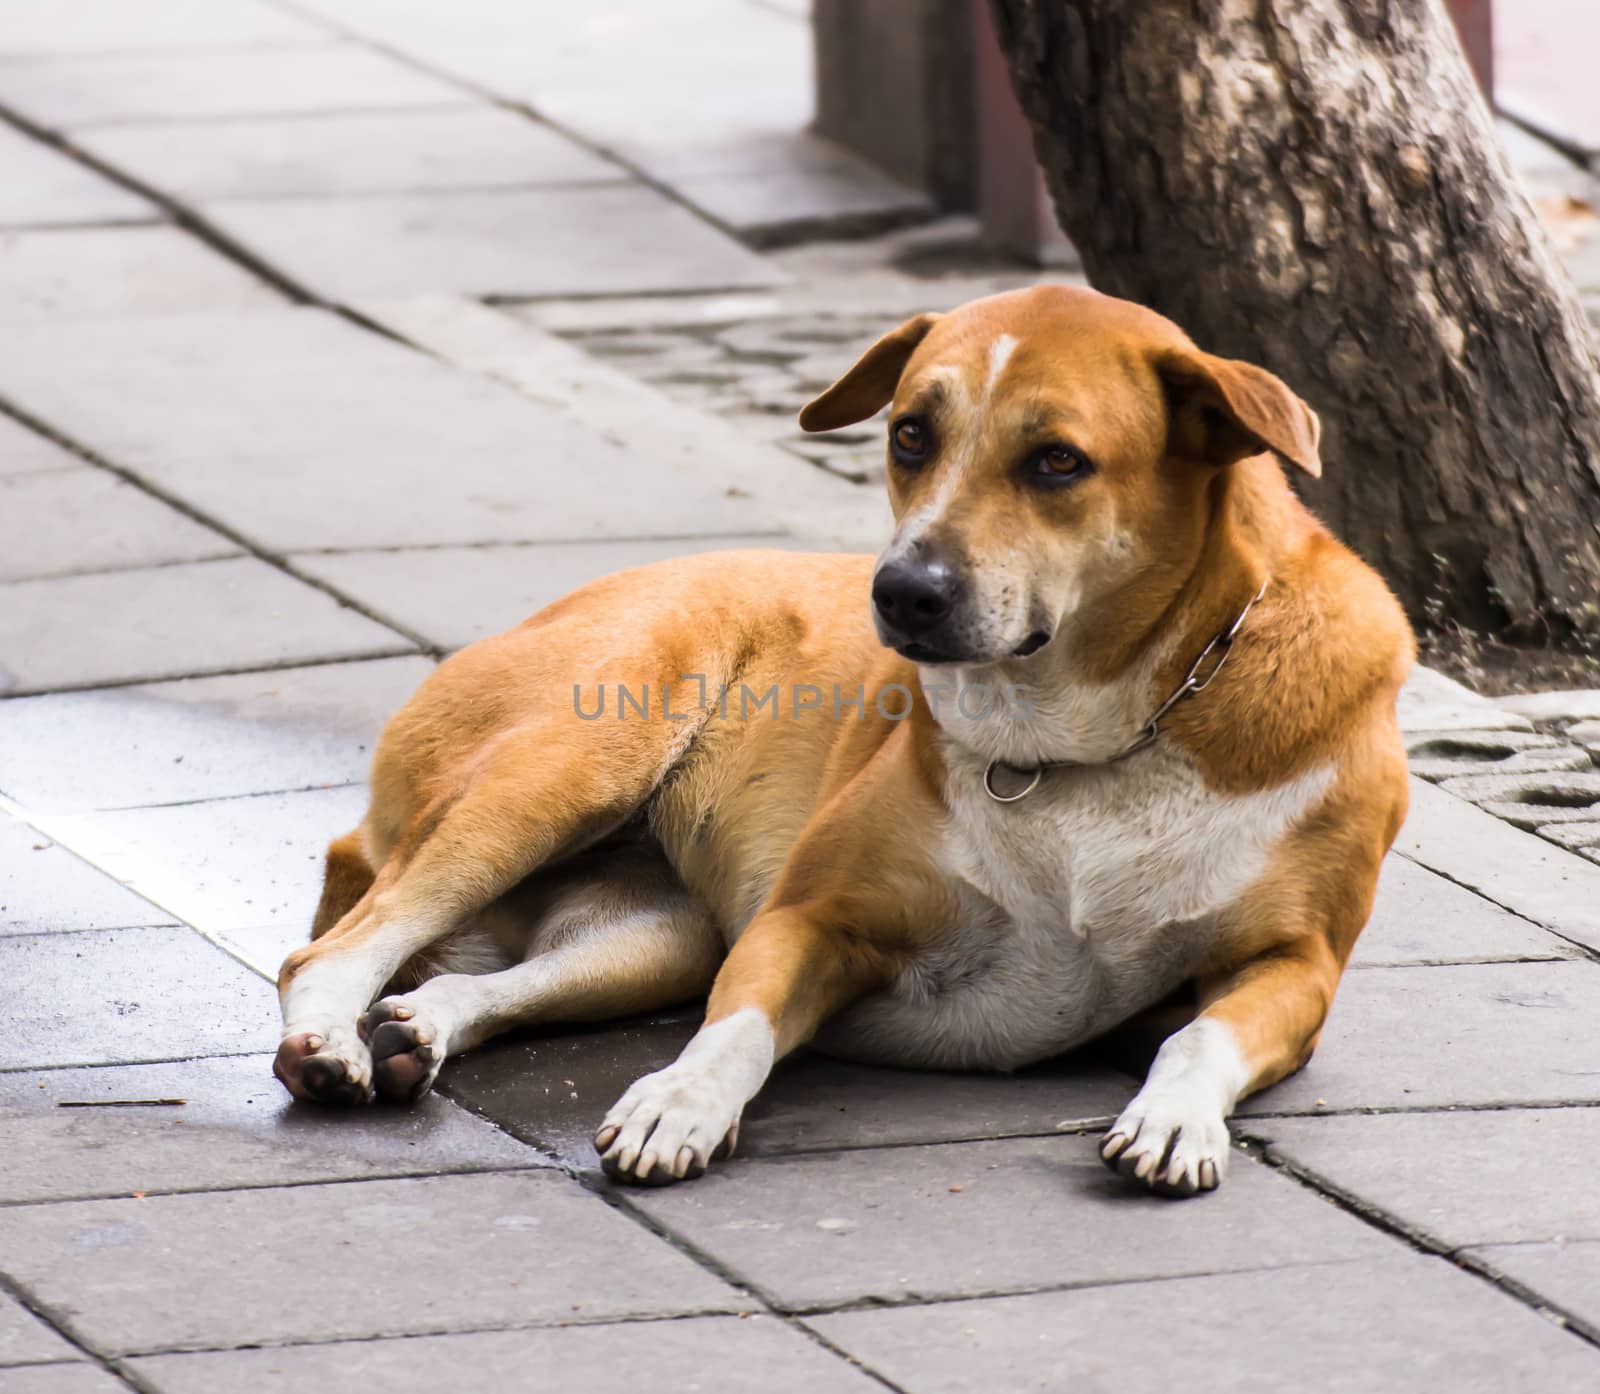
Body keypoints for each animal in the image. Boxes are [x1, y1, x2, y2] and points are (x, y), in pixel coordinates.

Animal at [275, 286, 1414, 1197]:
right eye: (910, 434)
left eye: (1058, 461)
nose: (904, 590)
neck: (1083, 738)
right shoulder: (807, 919)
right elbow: (737, 1028)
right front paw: (679, 1099)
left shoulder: (1298, 966)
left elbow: (1198, 1029)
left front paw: (1173, 1117)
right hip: (572, 764)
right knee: (334, 946)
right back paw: (328, 1042)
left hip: (654, 936)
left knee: (465, 975)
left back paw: (418, 1028)